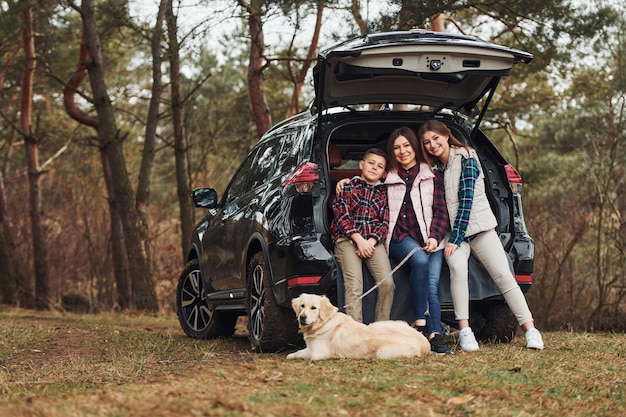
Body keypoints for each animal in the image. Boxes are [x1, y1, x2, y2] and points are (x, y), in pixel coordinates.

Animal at [286, 292, 428, 358]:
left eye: (314, 308)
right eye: (302, 306)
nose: (302, 317)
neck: (324, 322)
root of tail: (425, 343)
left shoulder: (318, 353)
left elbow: (302, 353)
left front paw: (291, 355)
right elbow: (300, 351)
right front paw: (291, 354)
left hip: (382, 352)